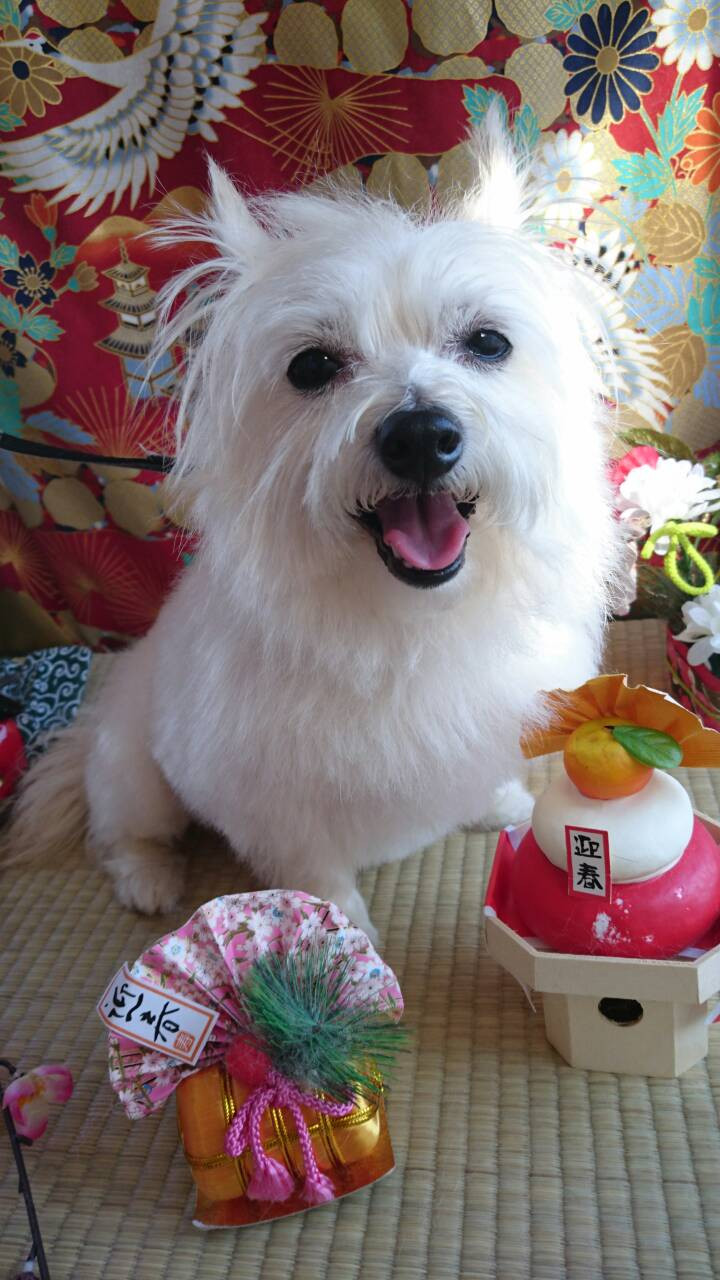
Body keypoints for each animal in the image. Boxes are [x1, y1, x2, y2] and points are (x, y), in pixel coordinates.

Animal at [4, 110, 620, 941]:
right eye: (312, 366)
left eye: (488, 342)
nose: (420, 434)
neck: (410, 622)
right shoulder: (271, 803)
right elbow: (318, 876)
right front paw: (340, 934)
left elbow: (483, 773)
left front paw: (499, 806)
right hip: (135, 770)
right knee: (125, 830)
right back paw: (149, 879)